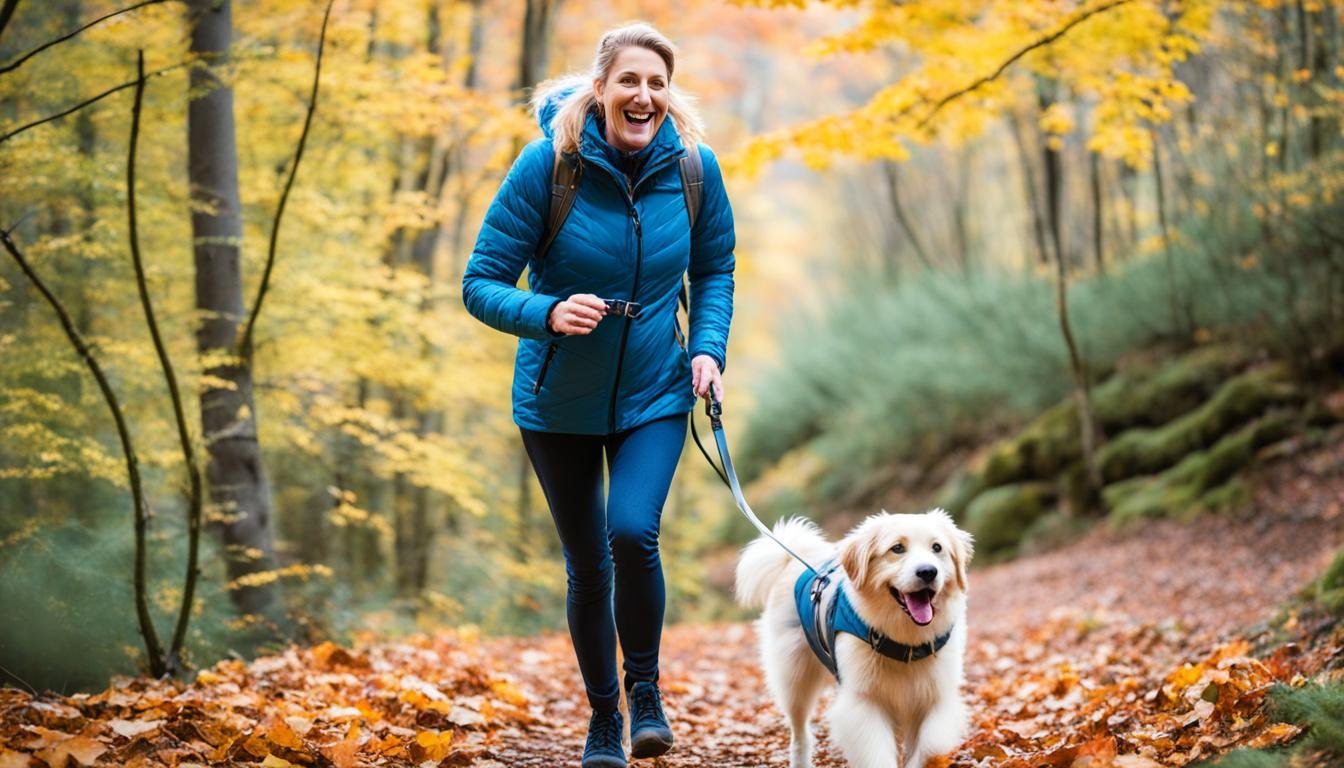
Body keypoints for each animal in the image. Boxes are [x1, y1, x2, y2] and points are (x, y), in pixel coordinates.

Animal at [736, 511, 978, 768]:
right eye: (897, 548)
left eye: (937, 547)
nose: (928, 572)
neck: (906, 643)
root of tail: (791, 560)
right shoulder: (864, 702)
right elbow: (877, 754)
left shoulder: (935, 697)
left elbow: (930, 747)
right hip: (794, 679)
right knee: (799, 732)